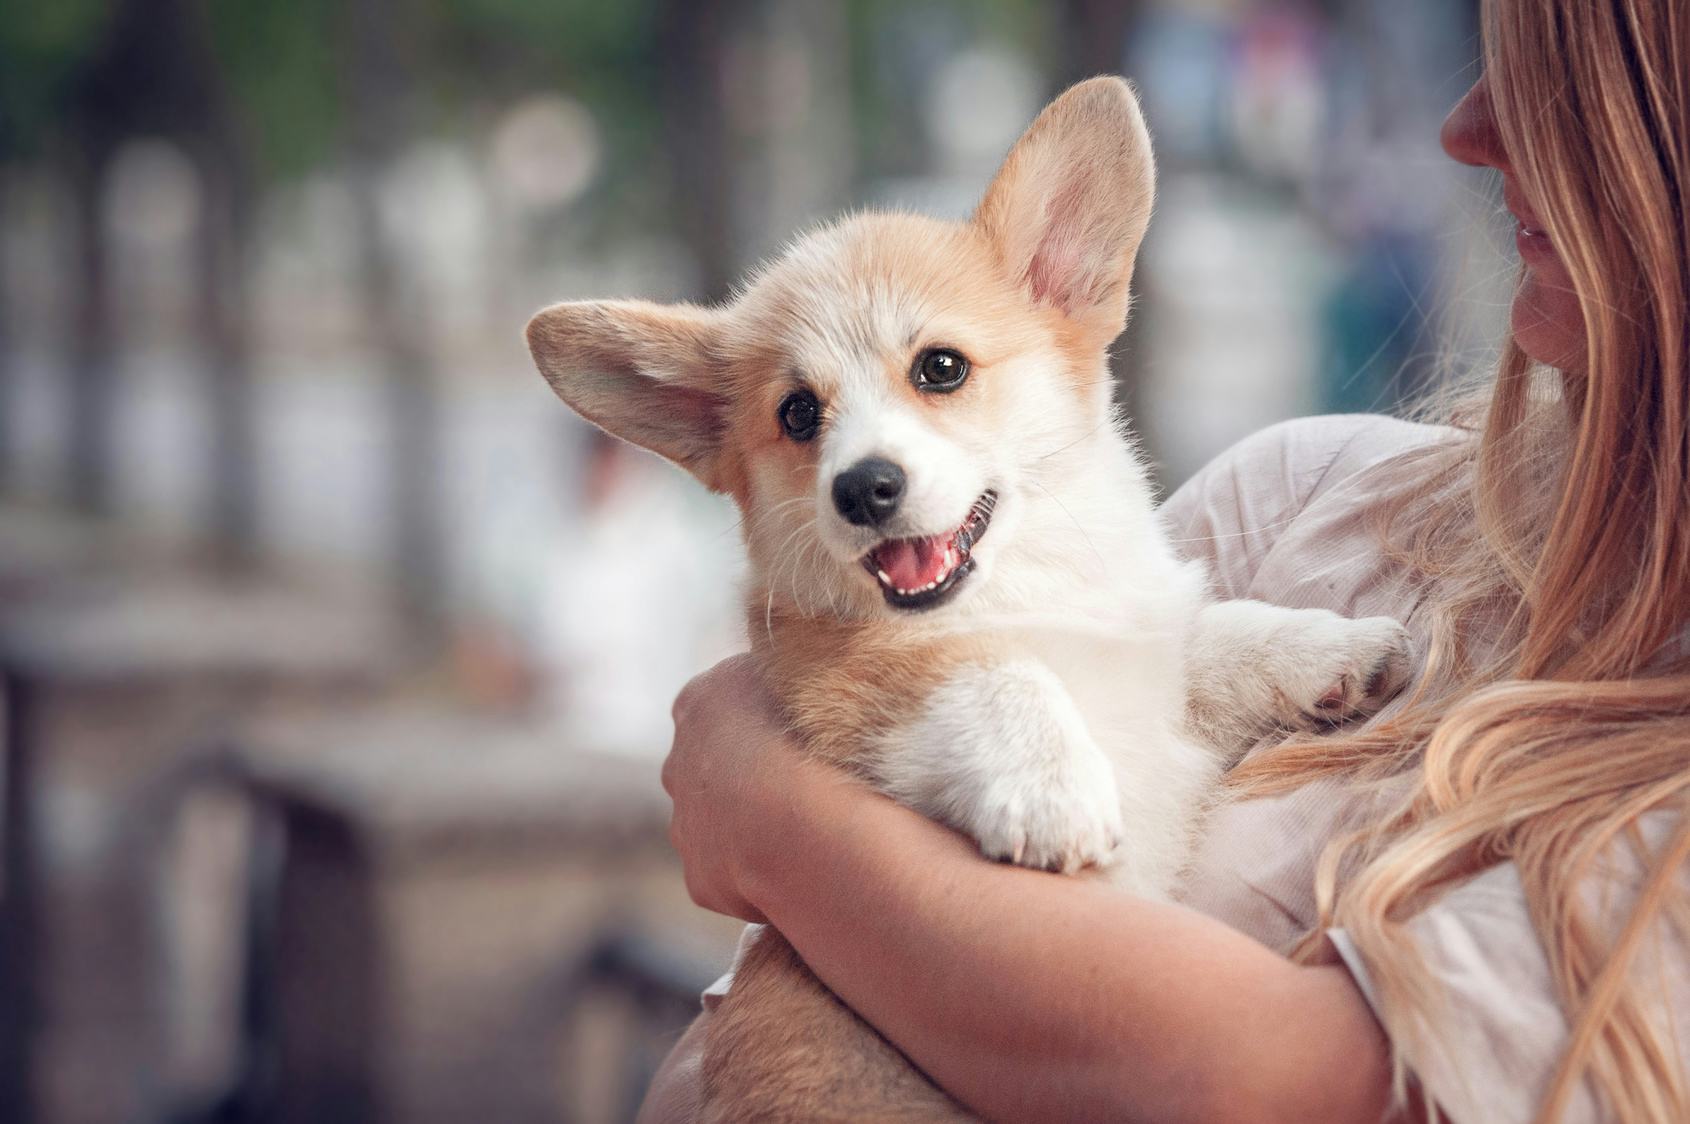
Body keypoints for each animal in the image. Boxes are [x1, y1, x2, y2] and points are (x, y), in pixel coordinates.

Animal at [530, 74, 1412, 1115]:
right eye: (798, 413)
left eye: (940, 368)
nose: (863, 488)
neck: (1029, 592)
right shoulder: (854, 693)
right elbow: (996, 675)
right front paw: (1053, 793)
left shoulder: (1150, 656)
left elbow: (1218, 635)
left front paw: (1340, 649)